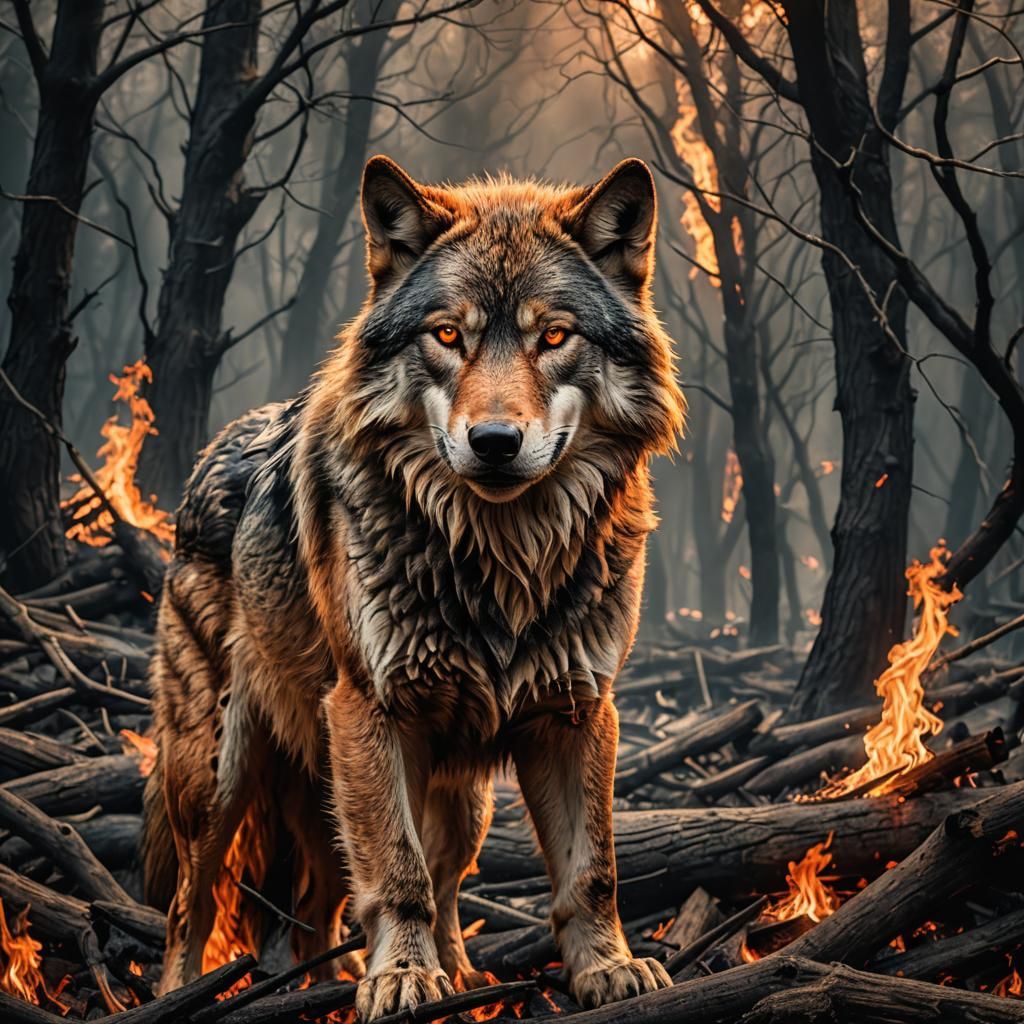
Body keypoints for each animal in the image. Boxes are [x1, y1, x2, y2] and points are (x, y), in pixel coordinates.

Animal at [143, 155, 686, 1020]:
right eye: (448, 335)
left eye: (553, 337)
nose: (494, 442)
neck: (501, 560)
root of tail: (211, 453)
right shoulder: (371, 712)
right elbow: (396, 877)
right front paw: (401, 978)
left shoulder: (578, 713)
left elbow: (589, 873)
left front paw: (608, 969)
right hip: (220, 775)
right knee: (192, 905)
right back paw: (185, 995)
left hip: (451, 793)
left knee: (378, 895)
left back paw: (419, 979)